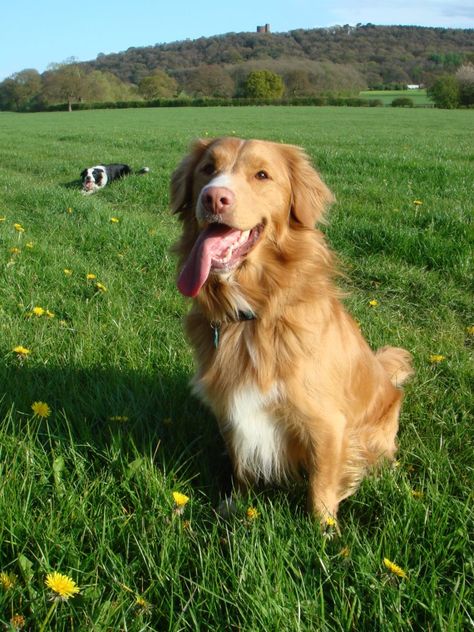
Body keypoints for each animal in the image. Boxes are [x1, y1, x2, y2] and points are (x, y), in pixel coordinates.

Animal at [170, 138, 412, 524]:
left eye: (262, 175)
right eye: (207, 168)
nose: (214, 198)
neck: (255, 315)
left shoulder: (327, 424)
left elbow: (321, 486)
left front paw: (323, 531)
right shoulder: (232, 413)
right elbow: (241, 464)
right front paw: (235, 504)